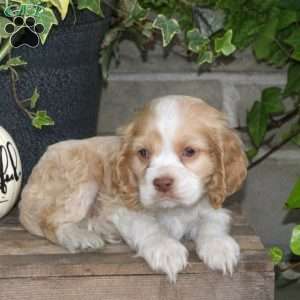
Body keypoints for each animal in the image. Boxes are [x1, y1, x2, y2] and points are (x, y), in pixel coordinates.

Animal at [19, 95, 247, 282]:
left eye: (190, 151)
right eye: (143, 153)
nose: (162, 182)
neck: (174, 210)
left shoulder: (212, 206)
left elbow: (213, 222)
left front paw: (220, 247)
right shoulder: (125, 208)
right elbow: (149, 227)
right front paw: (166, 250)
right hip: (82, 174)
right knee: (50, 222)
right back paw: (80, 237)